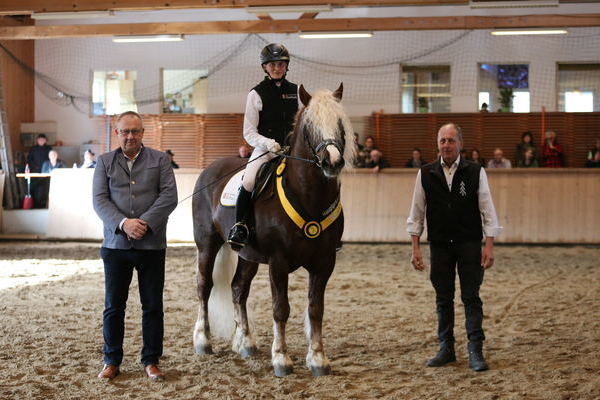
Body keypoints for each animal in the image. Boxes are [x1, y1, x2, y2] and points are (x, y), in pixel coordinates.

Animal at [190, 83, 354, 376]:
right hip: (207, 244)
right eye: (309, 125)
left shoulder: (325, 262)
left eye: (339, 123)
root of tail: (210, 170)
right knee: (204, 286)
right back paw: (203, 341)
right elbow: (280, 309)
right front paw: (280, 358)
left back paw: (245, 342)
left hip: (248, 256)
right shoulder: (278, 262)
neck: (308, 197)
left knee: (238, 288)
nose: (332, 162)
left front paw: (318, 359)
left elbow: (316, 309)